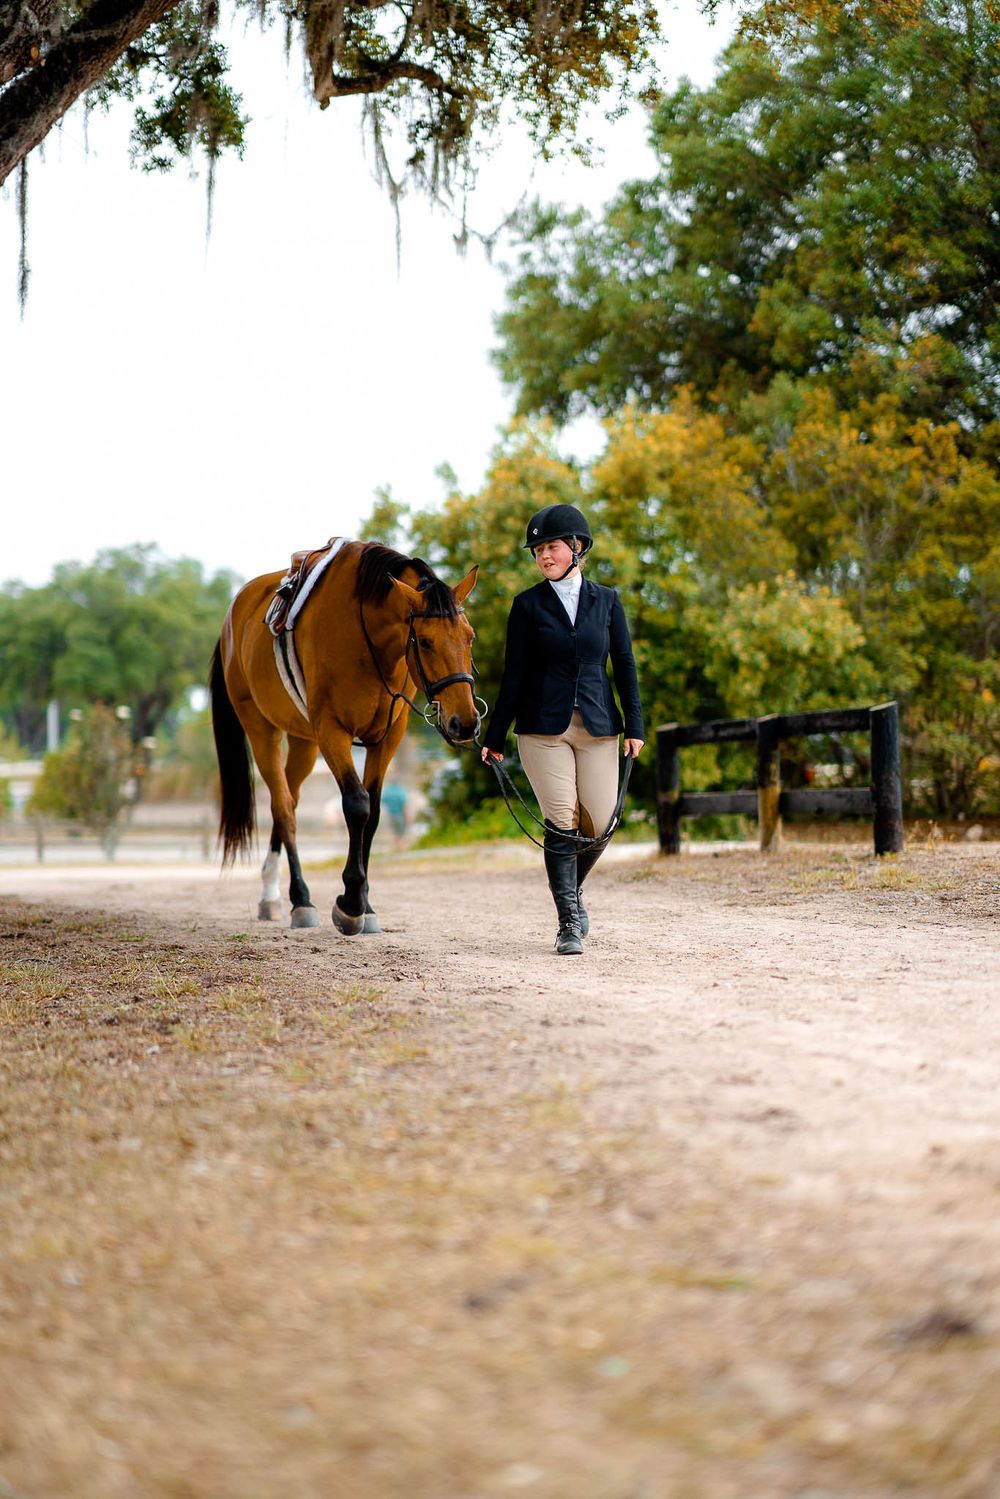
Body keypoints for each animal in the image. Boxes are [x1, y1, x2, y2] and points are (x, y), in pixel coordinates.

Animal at [208, 539, 479, 934]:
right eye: (426, 642)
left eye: (469, 637)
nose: (466, 722)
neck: (368, 639)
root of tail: (232, 616)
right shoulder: (332, 731)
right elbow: (356, 805)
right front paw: (350, 904)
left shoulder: (386, 739)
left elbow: (375, 813)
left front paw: (366, 905)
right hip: (262, 730)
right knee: (283, 807)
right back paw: (300, 900)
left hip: (304, 743)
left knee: (288, 801)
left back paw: (272, 894)